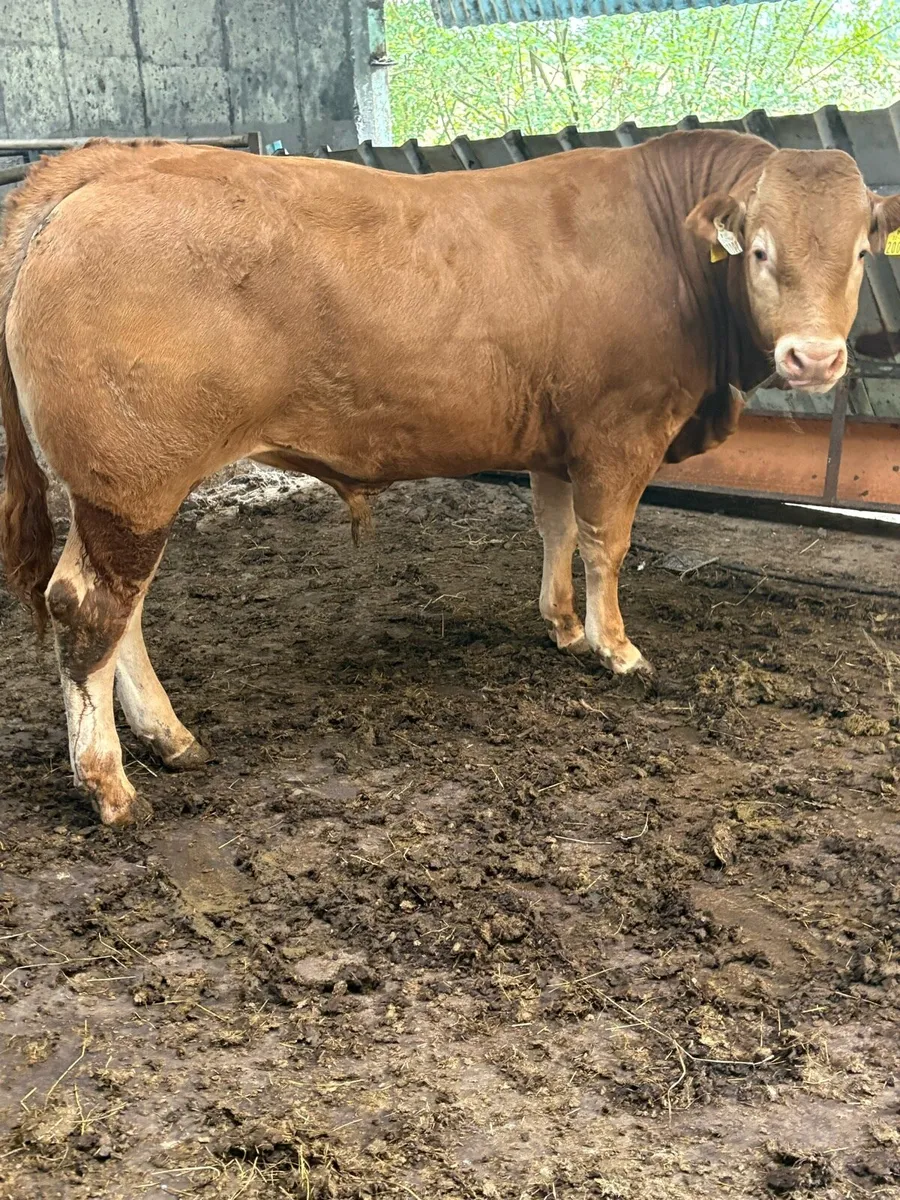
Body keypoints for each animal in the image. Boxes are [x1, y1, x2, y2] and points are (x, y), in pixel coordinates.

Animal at [1, 132, 898, 827]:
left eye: (861, 251)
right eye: (760, 250)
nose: (813, 358)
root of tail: (105, 166)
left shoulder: (554, 438)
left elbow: (556, 526)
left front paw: (564, 627)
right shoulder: (621, 432)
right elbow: (607, 542)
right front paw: (617, 648)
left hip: (130, 485)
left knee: (124, 614)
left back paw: (171, 740)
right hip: (130, 481)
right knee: (88, 608)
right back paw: (110, 787)